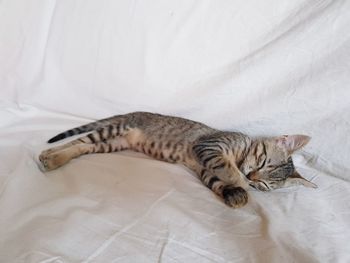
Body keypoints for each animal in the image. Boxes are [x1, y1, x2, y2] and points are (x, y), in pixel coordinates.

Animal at [39, 111, 318, 208]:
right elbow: (227, 167)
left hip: (115, 142)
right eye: (262, 161)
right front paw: (240, 183)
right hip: (116, 129)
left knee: (84, 147)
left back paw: (53, 158)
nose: (252, 178)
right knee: (77, 142)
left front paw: (236, 195)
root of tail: (137, 111)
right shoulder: (209, 147)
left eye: (264, 184)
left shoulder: (203, 168)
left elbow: (218, 182)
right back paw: (50, 156)